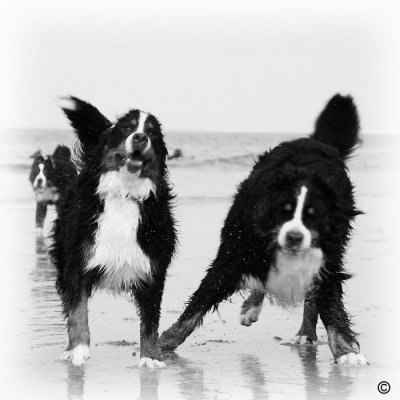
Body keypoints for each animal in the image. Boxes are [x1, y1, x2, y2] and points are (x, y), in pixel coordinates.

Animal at [49, 97, 177, 368]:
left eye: (152, 132)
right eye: (127, 128)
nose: (140, 137)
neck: (125, 193)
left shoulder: (153, 268)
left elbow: (150, 321)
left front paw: (150, 357)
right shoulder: (78, 263)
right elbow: (77, 311)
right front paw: (79, 349)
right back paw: (68, 350)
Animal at [159, 95, 368, 368]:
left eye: (314, 217)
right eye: (284, 211)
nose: (294, 237)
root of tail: (316, 142)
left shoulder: (327, 261)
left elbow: (331, 308)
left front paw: (346, 352)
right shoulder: (234, 254)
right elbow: (198, 303)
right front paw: (165, 341)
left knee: (310, 299)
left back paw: (305, 333)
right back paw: (253, 308)